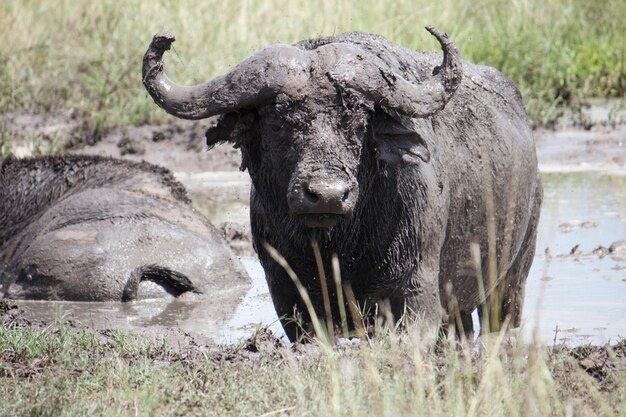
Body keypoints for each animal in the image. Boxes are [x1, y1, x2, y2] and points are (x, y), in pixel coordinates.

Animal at [143, 26, 540, 342]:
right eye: (278, 122)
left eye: (358, 120)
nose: (327, 196)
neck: (340, 245)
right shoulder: (290, 297)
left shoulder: (416, 293)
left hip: (514, 278)